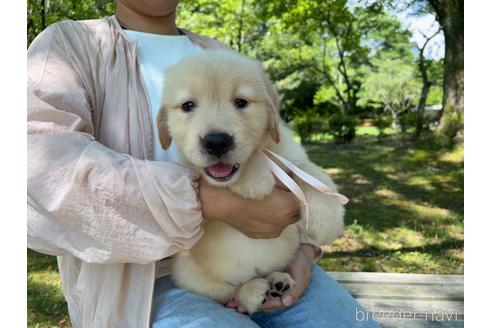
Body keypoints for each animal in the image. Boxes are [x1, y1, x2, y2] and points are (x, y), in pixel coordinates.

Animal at [156, 50, 344, 314]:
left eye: (241, 102)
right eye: (187, 106)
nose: (217, 142)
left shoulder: (293, 156)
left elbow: (312, 173)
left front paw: (328, 221)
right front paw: (255, 178)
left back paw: (277, 281)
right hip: (190, 273)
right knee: (228, 292)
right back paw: (254, 290)